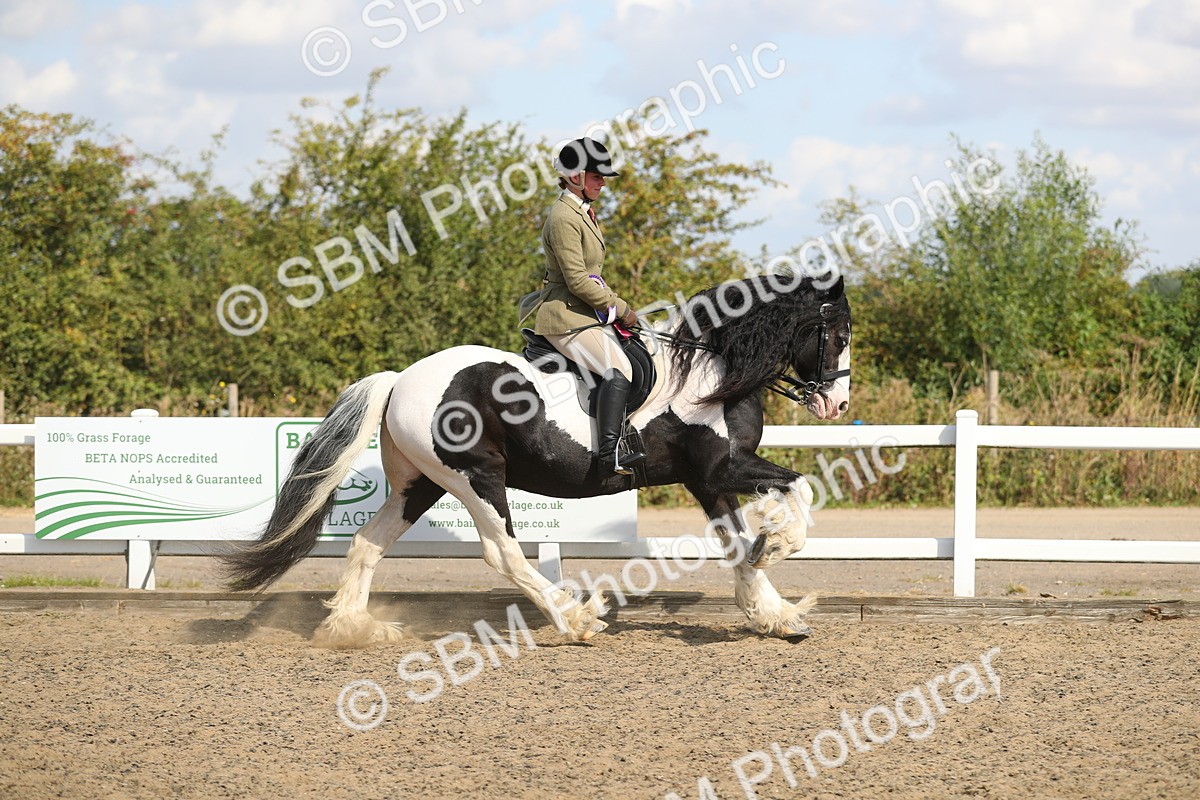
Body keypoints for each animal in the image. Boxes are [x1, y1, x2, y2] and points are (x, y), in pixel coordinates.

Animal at [221, 272, 852, 647]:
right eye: (838, 334)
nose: (837, 404)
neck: (710, 373)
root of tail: (401, 379)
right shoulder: (723, 468)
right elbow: (798, 490)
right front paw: (780, 546)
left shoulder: (707, 479)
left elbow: (739, 546)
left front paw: (776, 614)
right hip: (476, 478)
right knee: (503, 553)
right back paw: (576, 619)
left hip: (421, 484)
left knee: (366, 544)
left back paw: (354, 628)